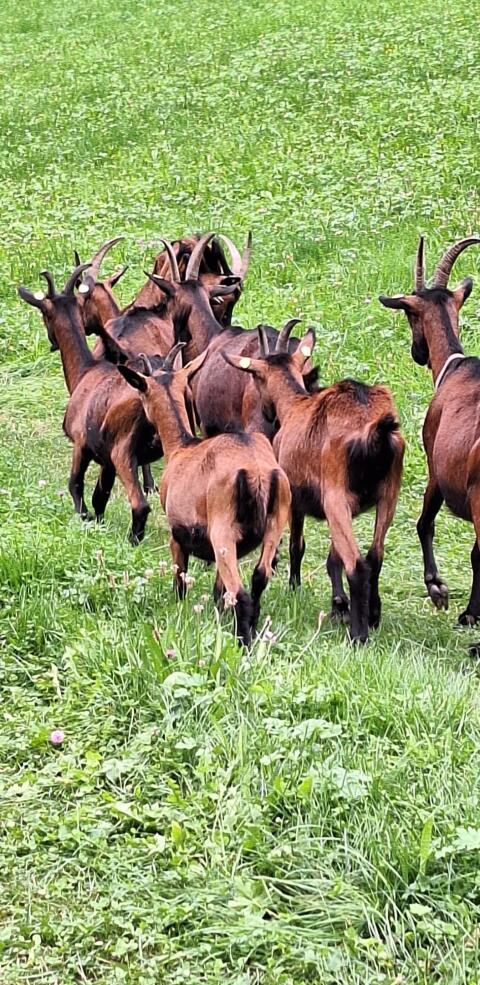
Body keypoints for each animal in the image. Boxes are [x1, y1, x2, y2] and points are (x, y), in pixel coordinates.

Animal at [18, 263, 169, 543]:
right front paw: (98, 522)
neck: (85, 371)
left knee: (140, 504)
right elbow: (100, 496)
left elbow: (75, 484)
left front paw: (84, 518)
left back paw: (133, 541)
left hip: (124, 452)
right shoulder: (106, 461)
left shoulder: (81, 444)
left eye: (44, 314)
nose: (52, 343)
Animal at [118, 344, 291, 646]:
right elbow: (218, 591)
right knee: (259, 578)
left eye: (141, 393)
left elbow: (180, 580)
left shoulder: (177, 533)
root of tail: (258, 474)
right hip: (275, 522)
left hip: (222, 530)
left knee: (242, 594)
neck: (181, 448)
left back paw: (243, 643)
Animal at [226, 329, 404, 643]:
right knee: (375, 555)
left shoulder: (294, 499)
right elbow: (334, 556)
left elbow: (298, 545)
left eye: (256, 379)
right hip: (388, 496)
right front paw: (338, 604)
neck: (294, 405)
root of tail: (376, 431)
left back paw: (359, 635)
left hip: (335, 497)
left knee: (358, 564)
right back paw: (372, 616)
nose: (268, 414)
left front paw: (294, 587)